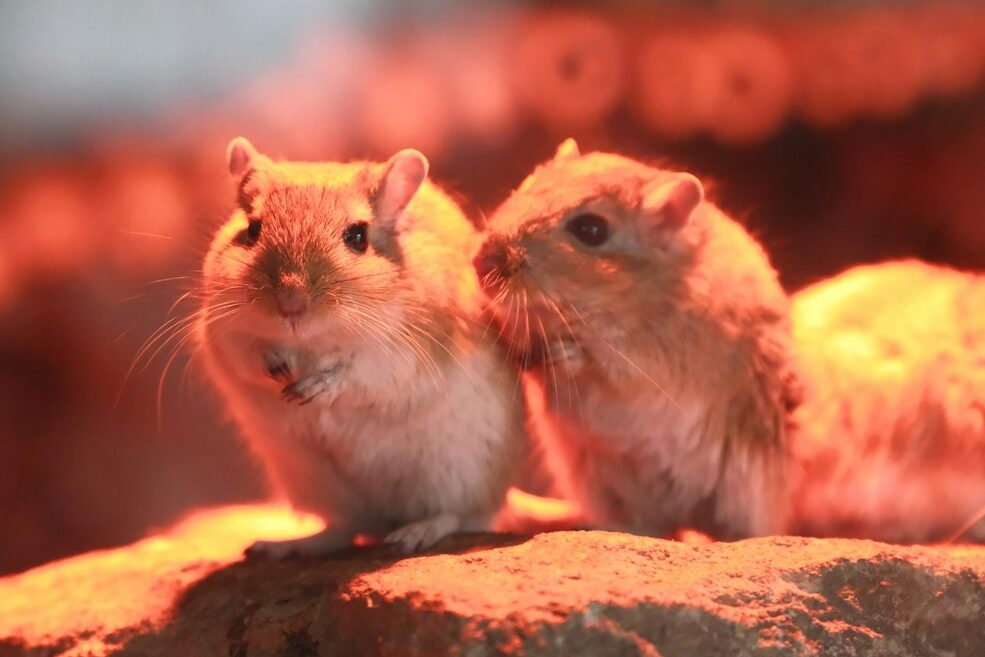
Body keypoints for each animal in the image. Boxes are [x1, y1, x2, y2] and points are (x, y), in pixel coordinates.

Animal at [196, 138, 525, 557]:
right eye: (252, 230)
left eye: (357, 237)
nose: (290, 304)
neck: (310, 343)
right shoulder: (226, 335)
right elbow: (252, 356)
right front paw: (280, 373)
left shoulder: (399, 352)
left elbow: (353, 372)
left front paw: (308, 390)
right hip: (317, 482)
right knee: (344, 529)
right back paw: (277, 546)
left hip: (459, 472)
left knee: (455, 515)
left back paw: (410, 536)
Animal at [475, 139, 799, 539]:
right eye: (524, 186)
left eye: (591, 229)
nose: (480, 263)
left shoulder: (649, 365)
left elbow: (603, 365)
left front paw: (567, 353)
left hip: (748, 488)